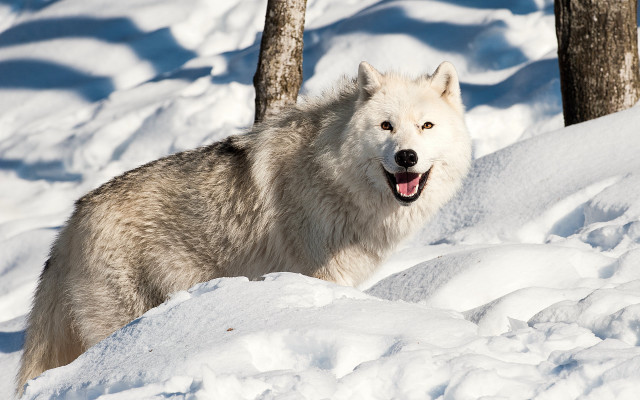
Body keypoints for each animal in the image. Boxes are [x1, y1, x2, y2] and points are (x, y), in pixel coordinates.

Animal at [17, 61, 471, 394]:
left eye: (426, 126)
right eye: (386, 126)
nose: (407, 156)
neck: (332, 173)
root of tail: (71, 221)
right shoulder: (323, 276)